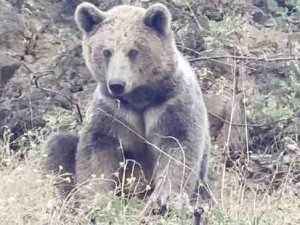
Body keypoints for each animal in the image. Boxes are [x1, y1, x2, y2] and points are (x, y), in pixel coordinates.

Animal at [45, 1, 212, 213]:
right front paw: (96, 200)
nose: (117, 84)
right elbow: (96, 151)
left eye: (133, 51)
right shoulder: (112, 111)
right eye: (106, 51)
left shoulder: (172, 105)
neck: (139, 98)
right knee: (58, 145)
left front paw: (162, 200)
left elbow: (178, 149)